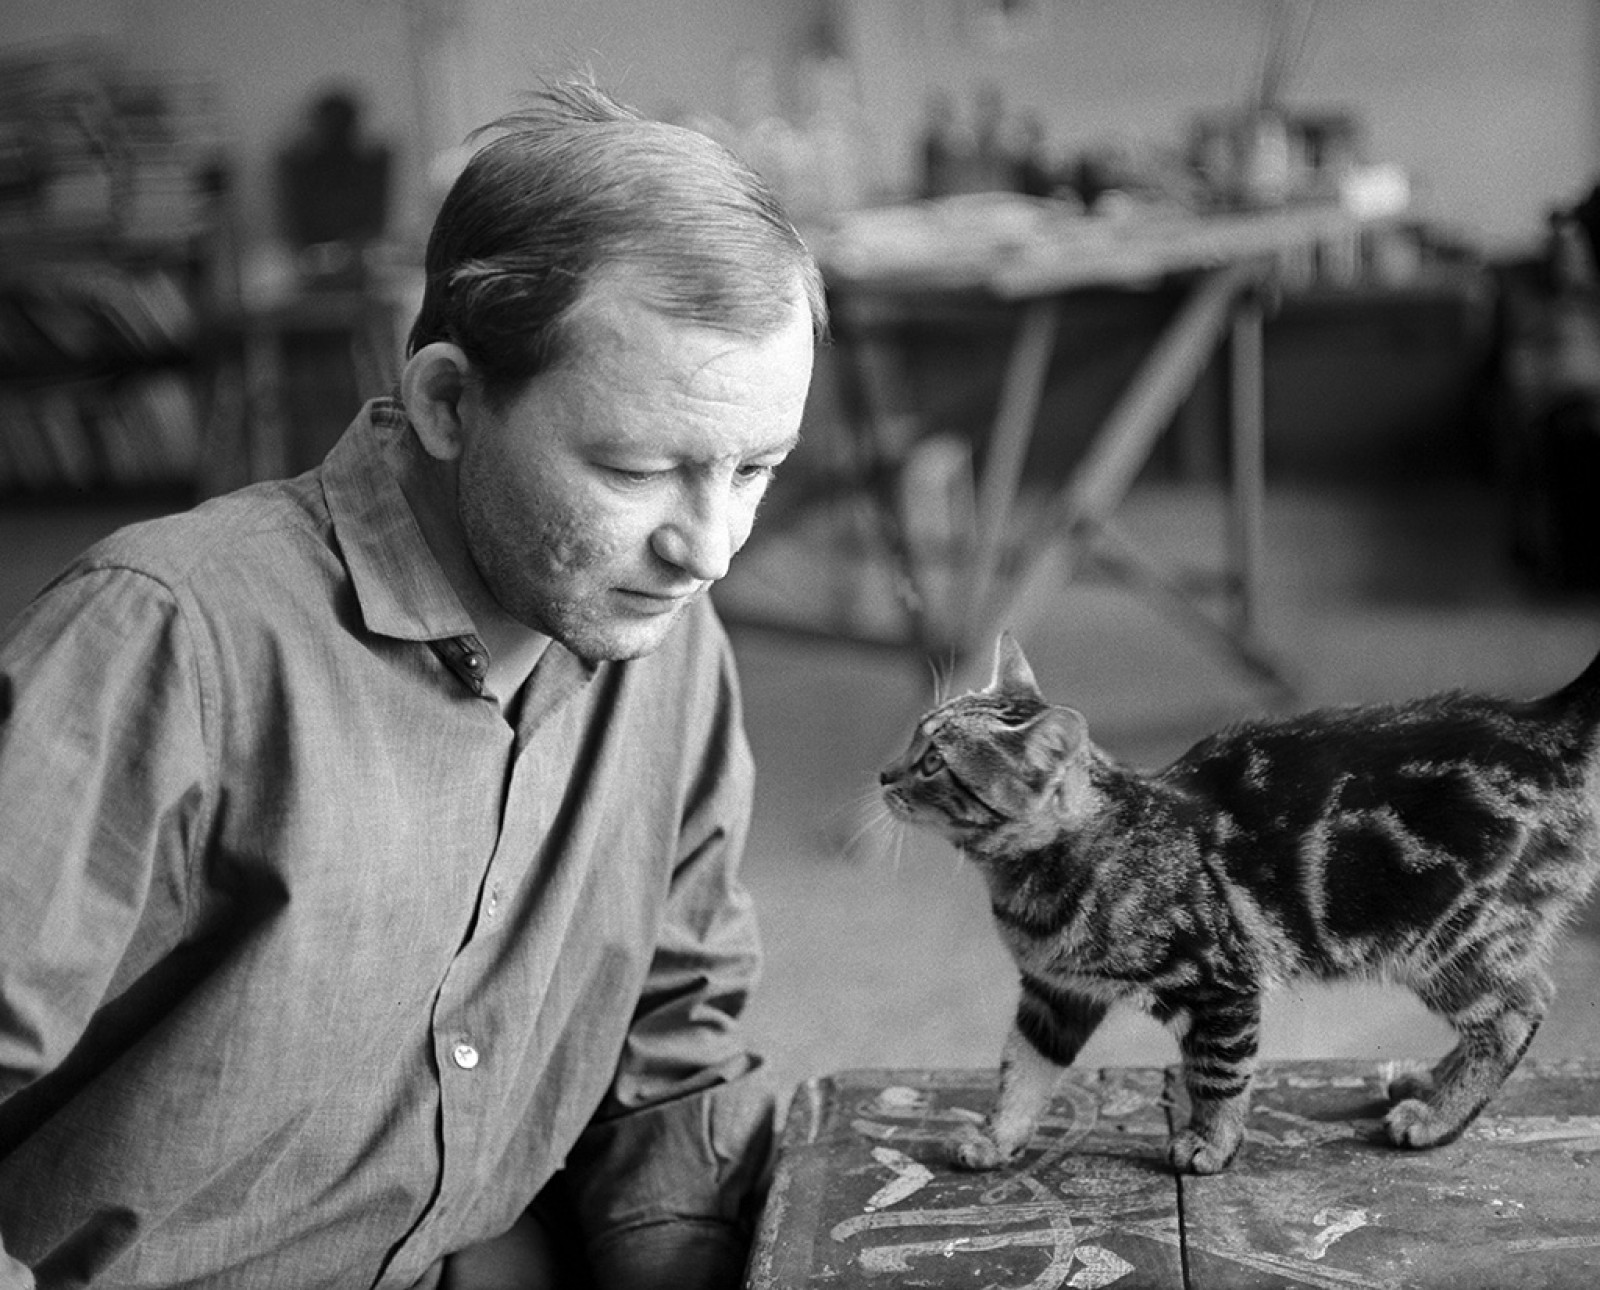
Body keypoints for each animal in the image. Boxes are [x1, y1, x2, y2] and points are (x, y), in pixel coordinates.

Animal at [879, 631, 1600, 1175]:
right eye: (913, 737)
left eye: (933, 762)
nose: (885, 774)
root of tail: (1541, 725)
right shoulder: (1055, 994)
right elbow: (1021, 1070)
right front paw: (997, 1137)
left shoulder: (1221, 985)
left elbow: (1218, 1075)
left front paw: (1212, 1142)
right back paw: (1432, 1082)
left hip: (1445, 937)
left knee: (1517, 1010)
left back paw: (1439, 1116)